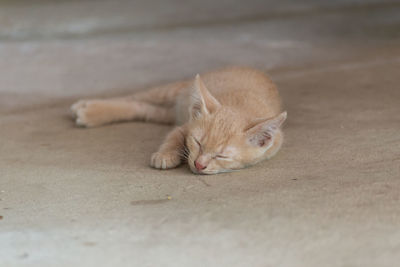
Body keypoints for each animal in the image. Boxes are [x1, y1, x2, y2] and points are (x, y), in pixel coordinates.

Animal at [70, 67, 286, 176]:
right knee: (132, 97)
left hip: (166, 112)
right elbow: (173, 136)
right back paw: (86, 107)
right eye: (198, 143)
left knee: (142, 108)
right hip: (172, 91)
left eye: (221, 156)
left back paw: (89, 111)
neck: (241, 106)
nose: (199, 164)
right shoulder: (185, 126)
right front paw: (165, 155)